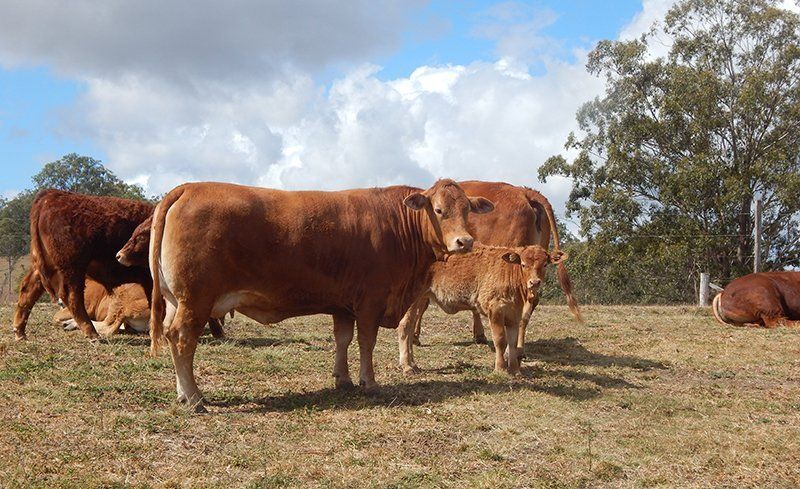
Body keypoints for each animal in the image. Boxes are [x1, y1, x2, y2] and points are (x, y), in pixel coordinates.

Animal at [12, 189, 153, 341]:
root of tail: (52, 195)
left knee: (29, 288)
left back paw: (20, 332)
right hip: (72, 268)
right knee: (72, 297)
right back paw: (90, 332)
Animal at [147, 179, 493, 410]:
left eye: (467, 210)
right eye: (439, 210)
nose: (465, 241)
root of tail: (189, 188)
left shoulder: (343, 305)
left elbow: (343, 340)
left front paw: (343, 378)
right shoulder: (371, 302)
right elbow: (366, 342)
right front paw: (369, 382)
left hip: (177, 301)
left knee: (171, 335)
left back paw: (183, 393)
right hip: (195, 300)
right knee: (181, 338)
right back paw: (194, 397)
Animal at [398, 244, 558, 376]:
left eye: (545, 264)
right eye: (523, 265)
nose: (534, 282)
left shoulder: (514, 315)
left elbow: (512, 342)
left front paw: (515, 370)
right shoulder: (495, 310)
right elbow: (500, 340)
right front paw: (500, 369)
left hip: (420, 298)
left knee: (410, 327)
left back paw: (413, 364)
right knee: (405, 327)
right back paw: (407, 367)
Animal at [412, 181, 582, 358]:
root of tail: (527, 193)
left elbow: (421, 301)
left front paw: (415, 336)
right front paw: (479, 334)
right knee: (531, 301)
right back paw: (519, 348)